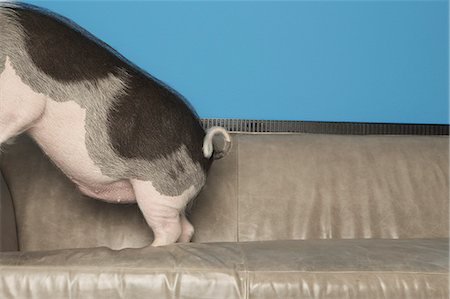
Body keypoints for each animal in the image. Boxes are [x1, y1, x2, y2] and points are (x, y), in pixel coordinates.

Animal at [0, 2, 230, 246]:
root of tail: (204, 148)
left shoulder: (21, 99)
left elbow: (16, 115)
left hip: (159, 192)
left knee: (171, 230)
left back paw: (145, 249)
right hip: (173, 200)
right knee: (186, 228)